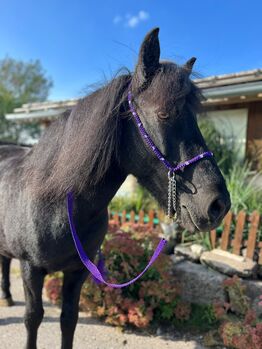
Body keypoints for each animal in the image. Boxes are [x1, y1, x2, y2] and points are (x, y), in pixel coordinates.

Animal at [0, 29, 229, 348]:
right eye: (164, 114)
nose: (219, 204)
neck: (58, 205)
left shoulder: (77, 272)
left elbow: (68, 320)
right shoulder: (31, 269)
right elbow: (33, 319)